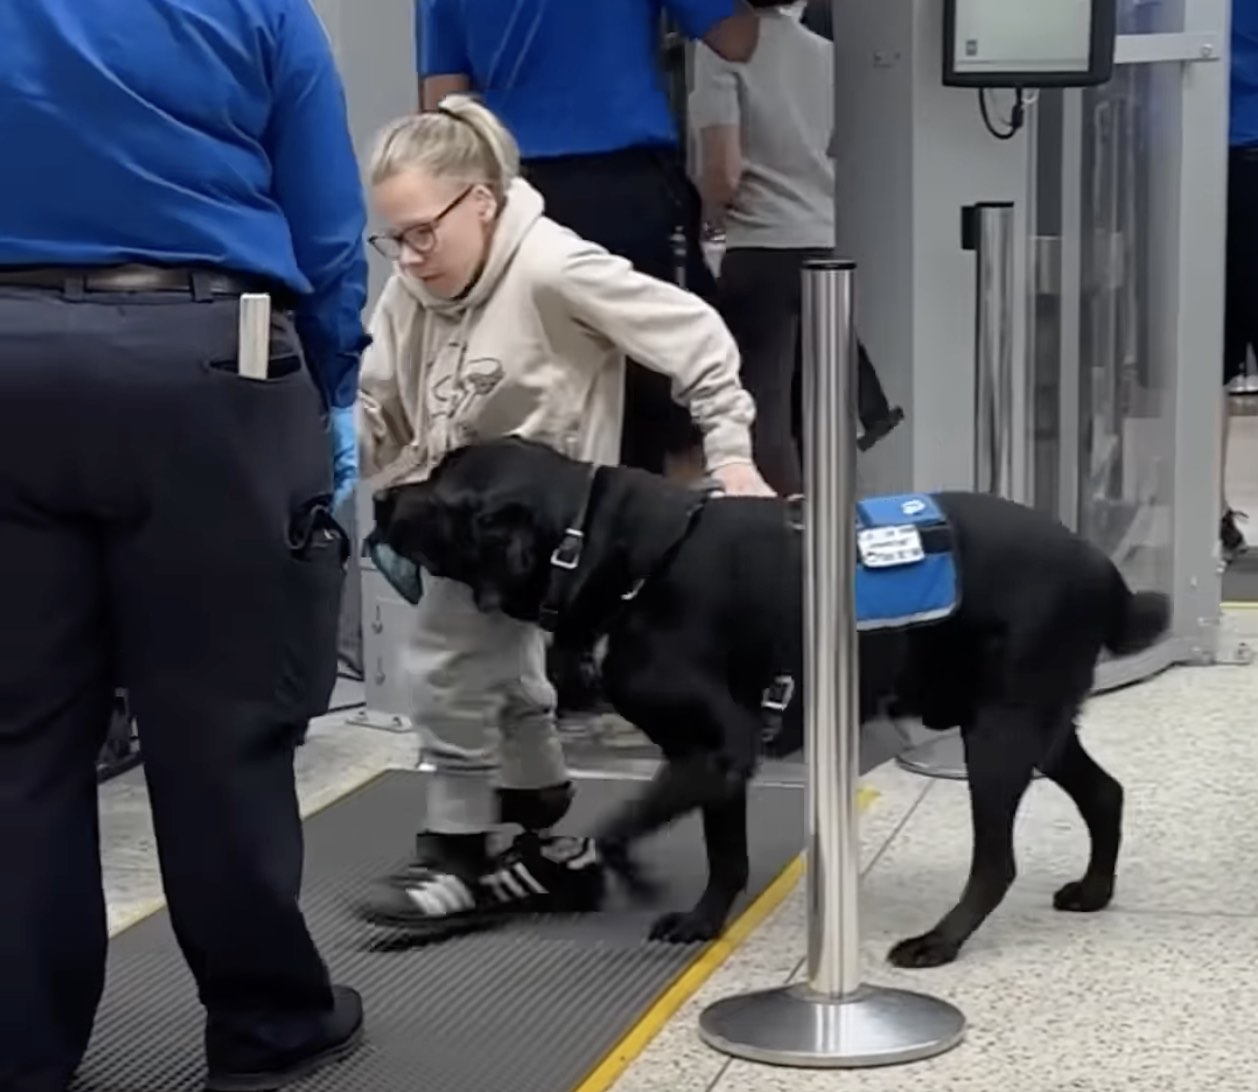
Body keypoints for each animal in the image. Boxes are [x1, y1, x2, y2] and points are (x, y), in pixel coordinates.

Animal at [379, 435, 1167, 966]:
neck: (620, 557)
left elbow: (617, 826)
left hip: (1001, 735)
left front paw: (618, 871)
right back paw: (1094, 890)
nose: (382, 496)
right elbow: (724, 853)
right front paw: (702, 921)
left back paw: (939, 941)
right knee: (1106, 793)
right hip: (1031, 724)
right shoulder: (714, 760)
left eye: (441, 490)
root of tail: (1102, 567)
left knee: (997, 861)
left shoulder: (716, 748)